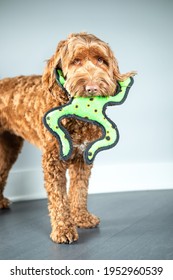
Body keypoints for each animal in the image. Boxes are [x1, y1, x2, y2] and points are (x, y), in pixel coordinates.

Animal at [0, 32, 135, 243]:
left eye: (101, 60)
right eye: (75, 61)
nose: (92, 87)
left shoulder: (82, 158)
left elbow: (79, 190)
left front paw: (81, 217)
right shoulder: (53, 160)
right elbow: (59, 197)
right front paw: (63, 229)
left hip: (9, 146)